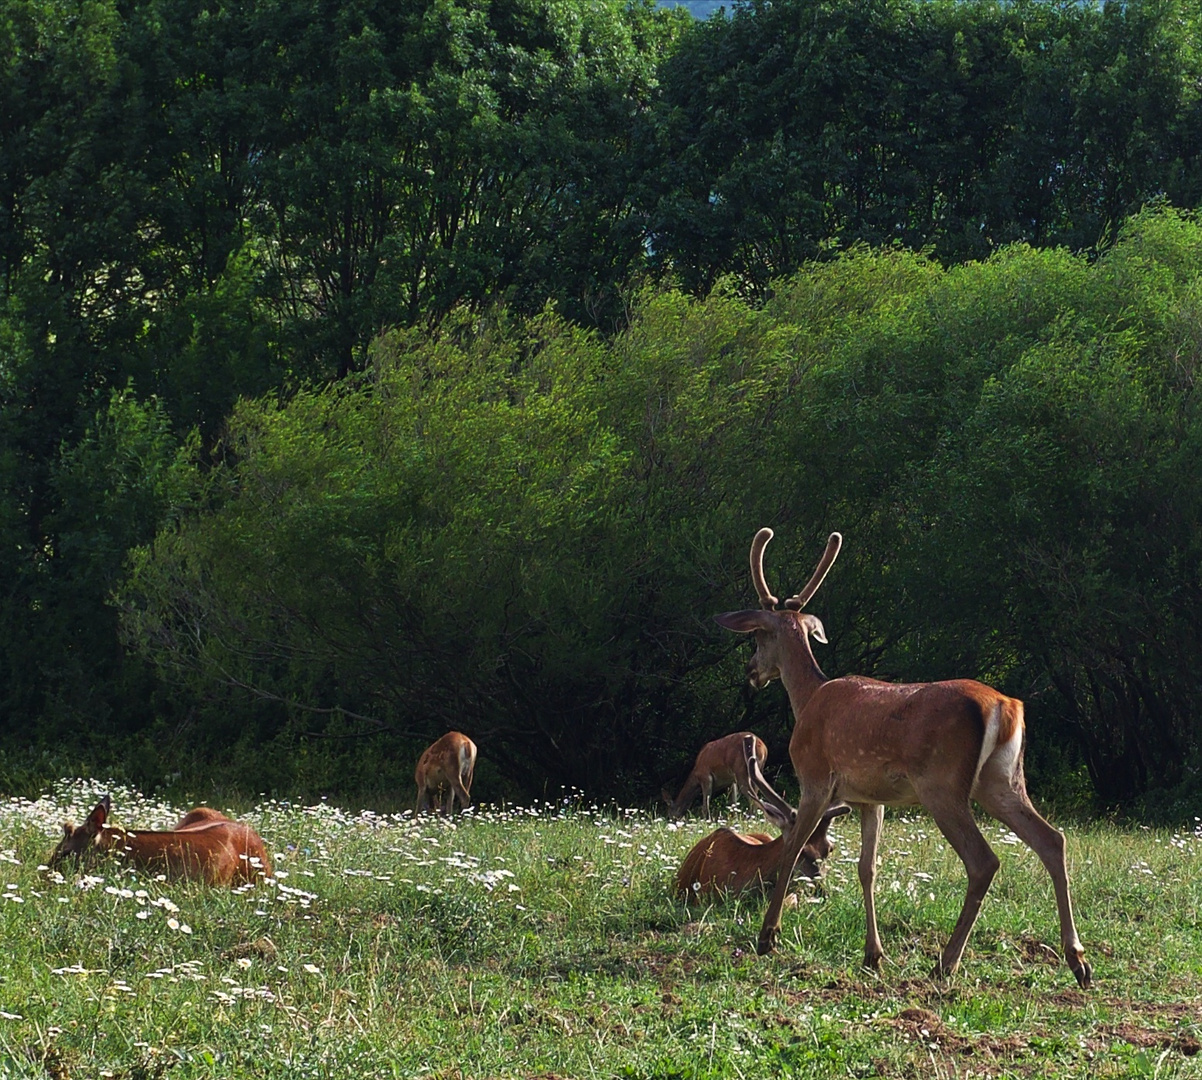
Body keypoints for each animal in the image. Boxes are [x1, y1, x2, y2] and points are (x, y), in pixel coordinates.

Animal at [716, 523, 1096, 989]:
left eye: (756, 636)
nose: (751, 673)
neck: (807, 699)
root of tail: (1007, 707)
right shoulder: (870, 798)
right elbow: (868, 868)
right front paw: (873, 954)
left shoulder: (816, 778)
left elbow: (792, 849)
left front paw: (768, 936)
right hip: (1001, 781)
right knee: (1052, 839)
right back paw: (1078, 961)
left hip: (942, 784)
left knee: (984, 861)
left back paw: (947, 962)